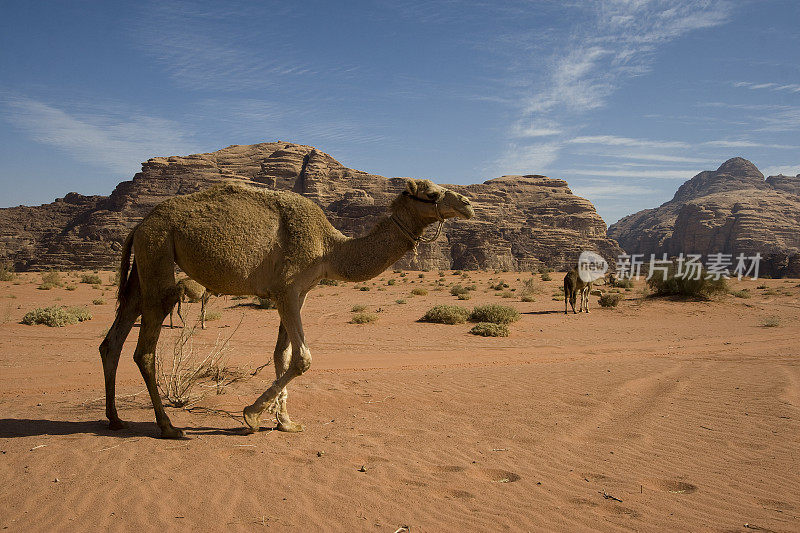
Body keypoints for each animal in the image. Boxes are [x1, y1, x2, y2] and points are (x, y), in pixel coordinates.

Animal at [100, 179, 476, 436]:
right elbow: (303, 359)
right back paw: (168, 427)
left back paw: (115, 418)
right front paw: (252, 414)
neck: (330, 249)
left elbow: (282, 354)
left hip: (145, 263)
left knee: (113, 339)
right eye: (431, 193)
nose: (468, 204)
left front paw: (284, 421)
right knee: (146, 345)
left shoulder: (297, 293)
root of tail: (139, 224)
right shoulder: (287, 289)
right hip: (158, 251)